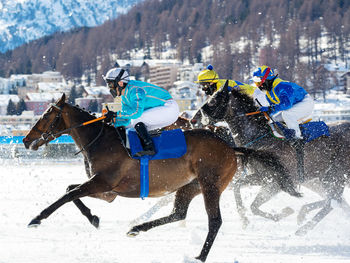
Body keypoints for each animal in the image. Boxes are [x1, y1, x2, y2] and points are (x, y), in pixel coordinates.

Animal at [21, 94, 296, 262]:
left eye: (46, 115)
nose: (25, 140)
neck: (101, 140)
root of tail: (230, 147)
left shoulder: (103, 183)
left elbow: (67, 195)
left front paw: (36, 219)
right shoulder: (107, 191)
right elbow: (71, 190)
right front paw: (94, 218)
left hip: (210, 184)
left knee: (214, 221)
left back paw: (200, 256)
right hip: (189, 186)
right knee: (179, 213)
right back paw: (137, 228)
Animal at [193, 84, 350, 235]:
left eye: (213, 100)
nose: (195, 119)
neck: (261, 139)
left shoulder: (273, 182)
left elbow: (253, 204)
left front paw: (283, 213)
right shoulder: (264, 178)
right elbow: (240, 189)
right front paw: (245, 219)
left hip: (336, 175)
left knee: (332, 202)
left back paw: (303, 227)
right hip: (326, 177)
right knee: (334, 201)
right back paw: (303, 216)